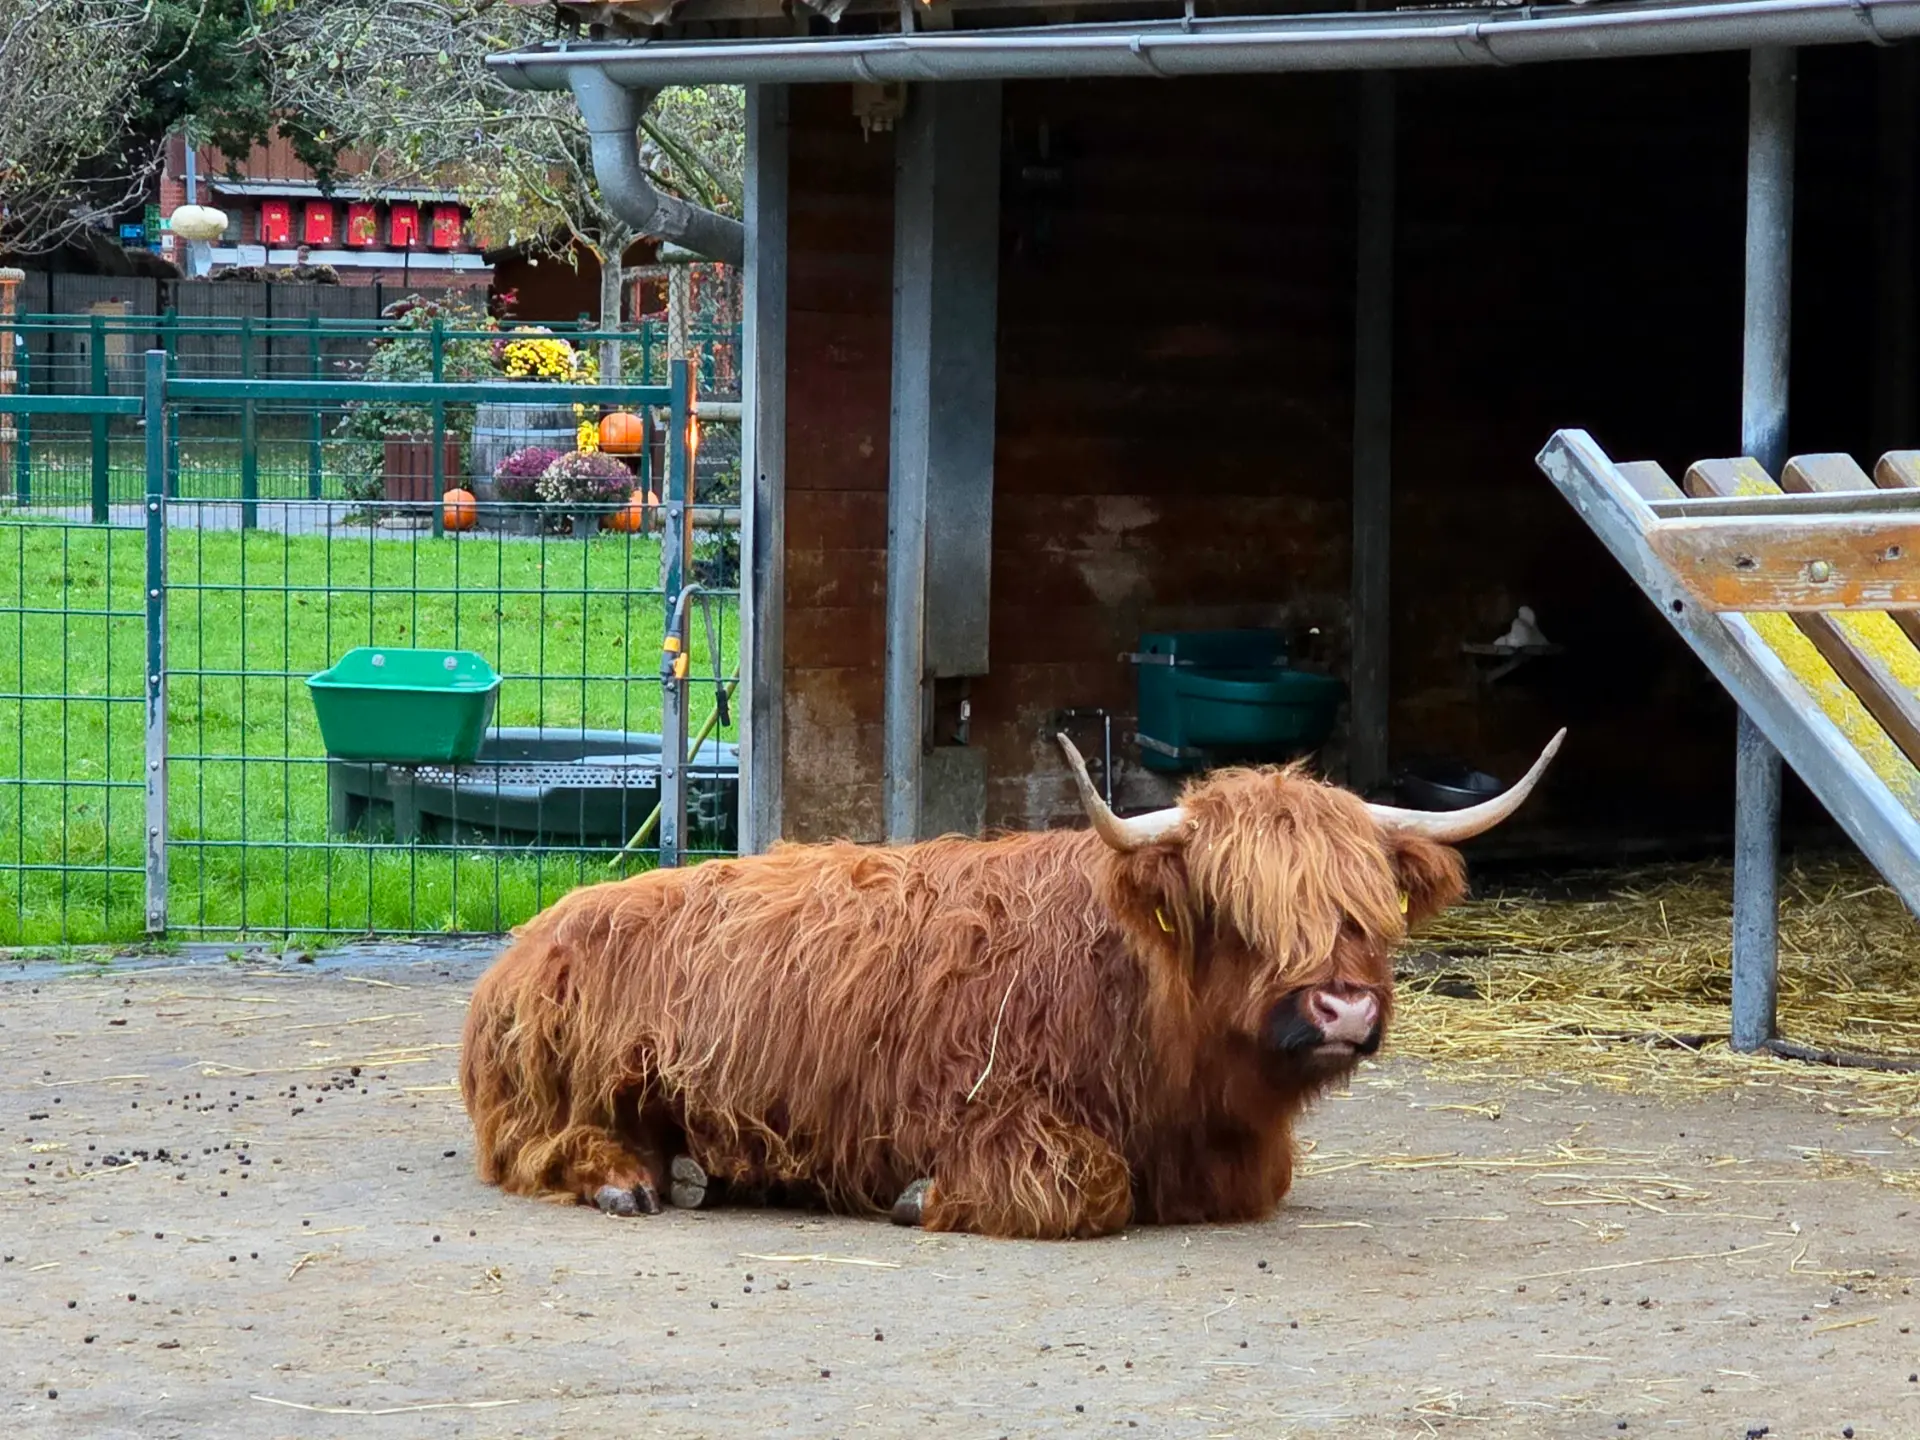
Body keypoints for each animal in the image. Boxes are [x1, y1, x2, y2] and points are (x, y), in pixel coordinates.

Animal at [459, 730, 1563, 1239]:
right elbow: (1089, 1186)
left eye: (1364, 909)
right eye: (1236, 909)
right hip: (576, 1085)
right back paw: (633, 1180)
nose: (1344, 1005)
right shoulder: (992, 1110)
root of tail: (527, 939)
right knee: (538, 1146)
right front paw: (918, 1197)